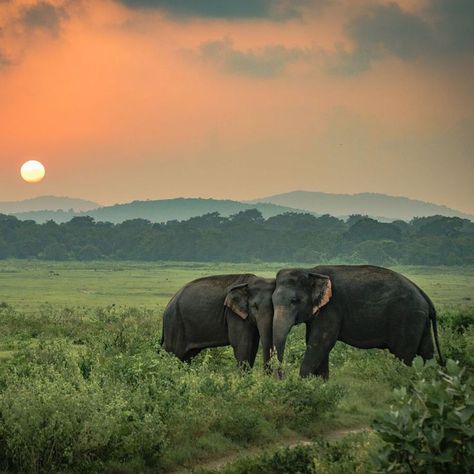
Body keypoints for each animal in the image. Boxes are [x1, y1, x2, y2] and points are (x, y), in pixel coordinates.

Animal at [272, 264, 442, 380]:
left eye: (295, 301)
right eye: (272, 301)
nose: (282, 377)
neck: (310, 271)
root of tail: (423, 295)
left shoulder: (332, 308)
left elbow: (320, 343)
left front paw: (302, 383)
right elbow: (315, 343)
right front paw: (320, 385)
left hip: (408, 319)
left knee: (403, 355)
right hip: (420, 320)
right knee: (427, 352)